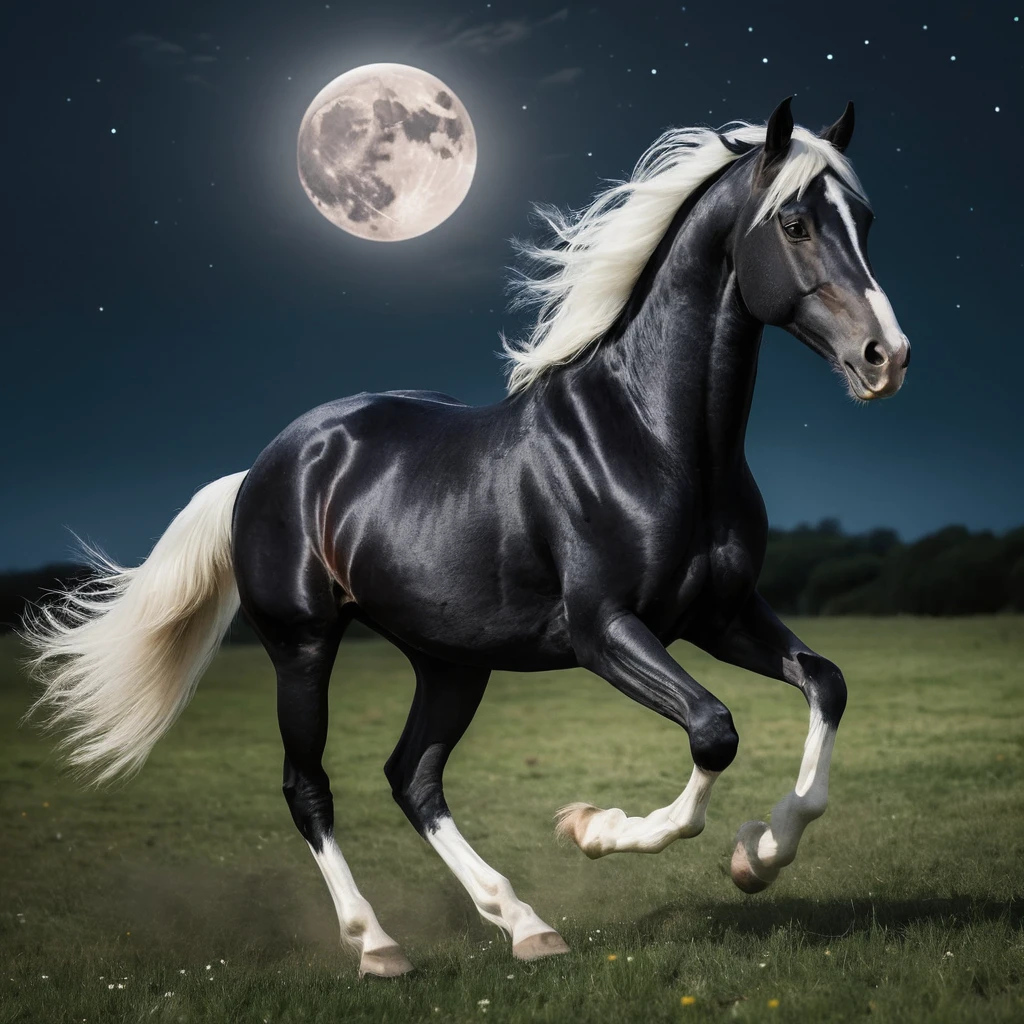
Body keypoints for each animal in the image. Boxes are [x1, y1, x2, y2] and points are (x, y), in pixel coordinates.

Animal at [24, 97, 910, 978]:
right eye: (794, 223)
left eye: (864, 218)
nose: (886, 357)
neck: (652, 439)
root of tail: (259, 471)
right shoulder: (605, 631)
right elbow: (713, 730)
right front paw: (594, 829)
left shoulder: (720, 616)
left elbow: (825, 684)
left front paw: (758, 855)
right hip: (303, 647)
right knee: (308, 788)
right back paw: (379, 945)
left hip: (450, 660)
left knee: (411, 778)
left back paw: (525, 925)